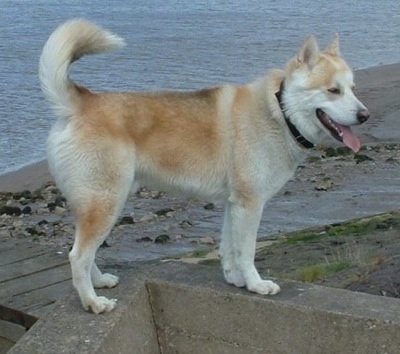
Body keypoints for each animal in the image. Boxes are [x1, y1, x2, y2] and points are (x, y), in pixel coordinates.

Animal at [39, 19, 370, 312]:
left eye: (353, 88)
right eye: (333, 90)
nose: (365, 115)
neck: (279, 112)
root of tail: (81, 103)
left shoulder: (234, 204)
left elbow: (229, 249)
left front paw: (235, 280)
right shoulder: (250, 204)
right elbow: (247, 251)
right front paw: (256, 284)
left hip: (97, 204)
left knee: (85, 252)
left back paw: (100, 283)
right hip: (106, 203)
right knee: (78, 256)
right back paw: (92, 302)